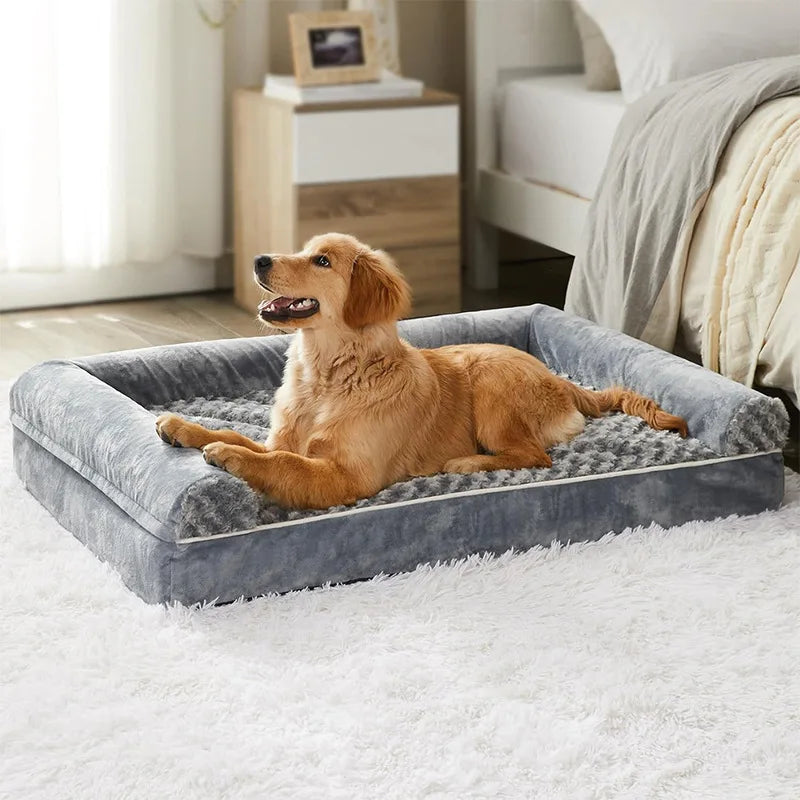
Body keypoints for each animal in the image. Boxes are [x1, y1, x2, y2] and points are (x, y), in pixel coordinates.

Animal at [156, 233, 688, 506]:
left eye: (321, 261)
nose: (259, 258)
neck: (329, 376)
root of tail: (560, 379)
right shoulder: (283, 438)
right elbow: (245, 436)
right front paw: (185, 428)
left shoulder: (350, 478)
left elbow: (281, 464)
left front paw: (229, 457)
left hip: (491, 385)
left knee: (534, 456)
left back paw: (466, 463)